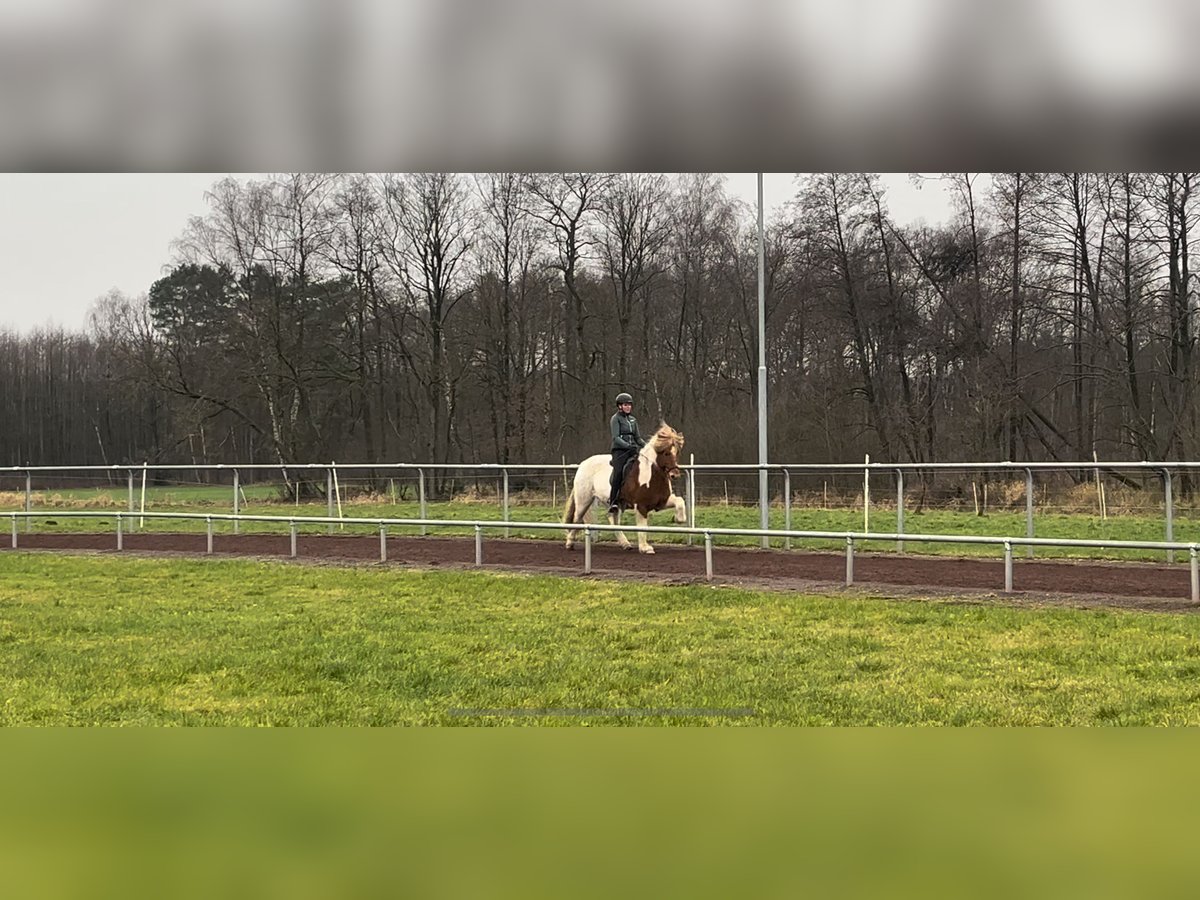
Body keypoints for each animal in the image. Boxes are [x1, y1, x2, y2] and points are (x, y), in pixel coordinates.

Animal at [561, 424, 686, 556]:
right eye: (666, 453)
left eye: (677, 452)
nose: (674, 475)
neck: (652, 475)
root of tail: (583, 464)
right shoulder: (641, 506)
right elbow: (642, 527)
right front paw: (645, 548)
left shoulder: (662, 501)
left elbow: (680, 501)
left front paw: (678, 519)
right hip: (584, 500)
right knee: (577, 518)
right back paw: (569, 543)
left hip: (615, 504)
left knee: (613, 520)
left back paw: (625, 544)